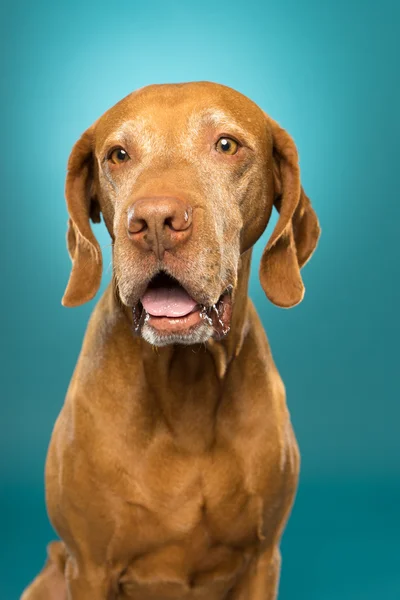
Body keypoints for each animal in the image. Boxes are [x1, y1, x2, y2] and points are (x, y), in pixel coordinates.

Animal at [21, 81, 320, 600]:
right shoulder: (89, 567)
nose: (155, 220)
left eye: (226, 145)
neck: (187, 387)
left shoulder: (263, 562)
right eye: (118, 155)